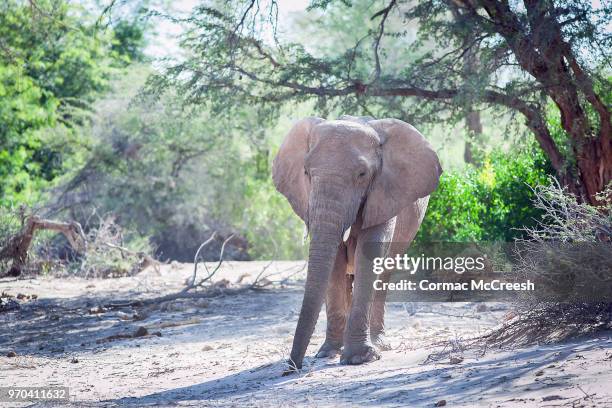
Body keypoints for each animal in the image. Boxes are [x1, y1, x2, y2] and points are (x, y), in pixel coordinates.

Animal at [272, 115, 440, 372]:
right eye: (306, 172)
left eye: (362, 174)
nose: (292, 368)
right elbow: (334, 261)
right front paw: (327, 353)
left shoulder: (385, 192)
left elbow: (370, 251)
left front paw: (359, 358)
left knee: (384, 275)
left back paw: (379, 344)